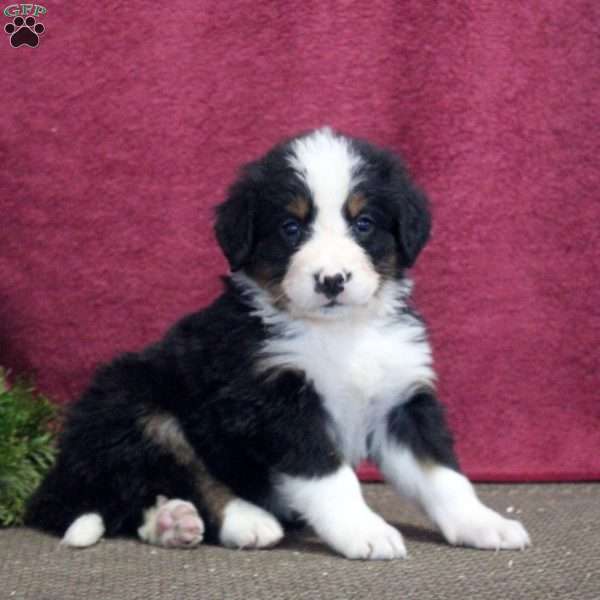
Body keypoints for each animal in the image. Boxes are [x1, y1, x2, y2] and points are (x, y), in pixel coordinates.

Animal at [24, 129, 528, 560]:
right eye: (291, 227)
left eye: (363, 223)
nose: (332, 280)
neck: (339, 332)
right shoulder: (274, 402)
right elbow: (331, 477)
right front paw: (365, 531)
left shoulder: (401, 400)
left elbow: (442, 474)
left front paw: (483, 523)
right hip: (135, 402)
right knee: (179, 476)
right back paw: (245, 520)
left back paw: (172, 522)